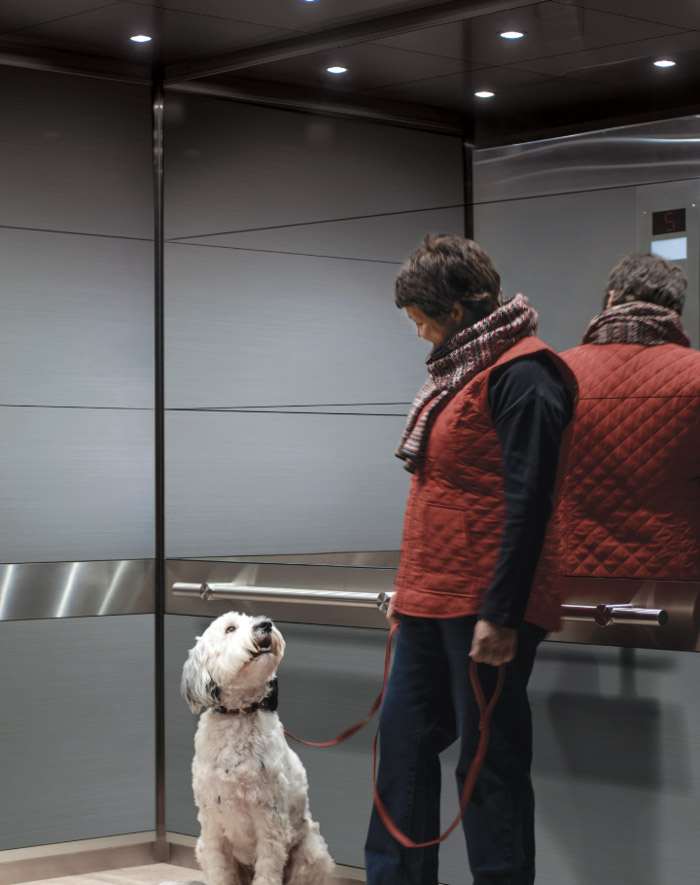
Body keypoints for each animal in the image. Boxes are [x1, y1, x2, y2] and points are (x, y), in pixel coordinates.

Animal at [179, 612, 334, 884]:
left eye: (254, 619)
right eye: (230, 628)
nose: (266, 625)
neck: (239, 714)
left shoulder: (270, 817)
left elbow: (268, 867)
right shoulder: (211, 821)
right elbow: (219, 869)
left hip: (311, 851)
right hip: (201, 846)